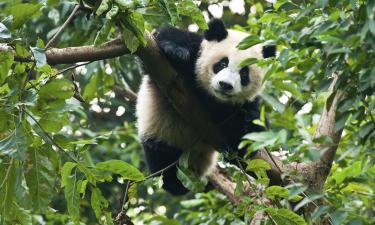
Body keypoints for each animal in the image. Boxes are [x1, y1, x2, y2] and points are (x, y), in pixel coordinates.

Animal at [136, 19, 276, 195]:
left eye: (244, 73)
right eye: (222, 63)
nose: (225, 85)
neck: (211, 97)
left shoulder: (241, 105)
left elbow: (252, 124)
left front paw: (246, 127)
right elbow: (168, 37)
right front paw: (176, 50)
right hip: (161, 133)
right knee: (161, 158)